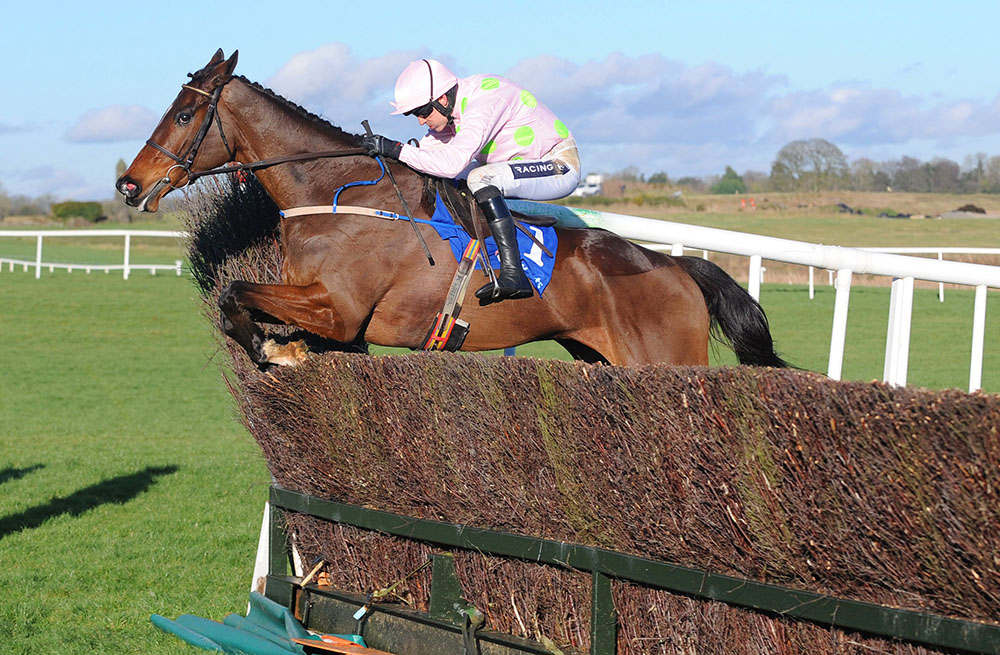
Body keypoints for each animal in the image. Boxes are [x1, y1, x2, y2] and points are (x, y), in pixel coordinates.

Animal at [117, 50, 788, 368]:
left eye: (184, 114)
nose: (129, 183)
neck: (339, 200)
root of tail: (676, 266)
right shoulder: (327, 315)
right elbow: (241, 301)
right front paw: (280, 346)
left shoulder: (339, 309)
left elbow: (236, 294)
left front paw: (275, 350)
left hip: (666, 359)